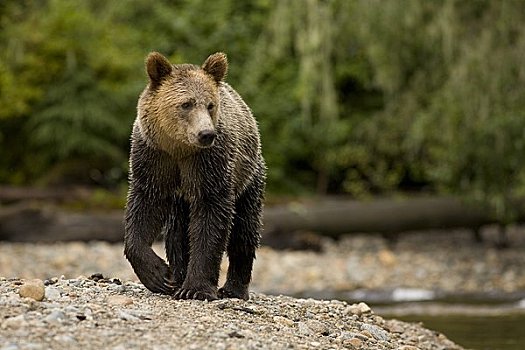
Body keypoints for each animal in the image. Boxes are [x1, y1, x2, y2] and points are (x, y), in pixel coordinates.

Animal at [124, 52, 266, 300]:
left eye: (210, 105)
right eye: (186, 104)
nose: (206, 134)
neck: (180, 149)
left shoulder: (210, 164)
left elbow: (211, 219)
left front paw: (196, 288)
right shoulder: (154, 158)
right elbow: (144, 206)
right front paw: (159, 275)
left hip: (249, 176)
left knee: (244, 231)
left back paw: (234, 288)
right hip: (180, 202)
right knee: (177, 234)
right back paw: (178, 278)